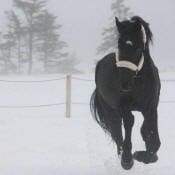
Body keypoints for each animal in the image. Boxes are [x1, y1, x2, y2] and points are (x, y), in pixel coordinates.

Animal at [91, 16, 161, 170]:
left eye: (138, 48)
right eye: (119, 45)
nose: (124, 83)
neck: (139, 83)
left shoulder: (151, 107)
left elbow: (152, 136)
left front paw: (144, 155)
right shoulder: (123, 106)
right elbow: (129, 122)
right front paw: (128, 159)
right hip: (110, 110)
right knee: (117, 131)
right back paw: (122, 154)